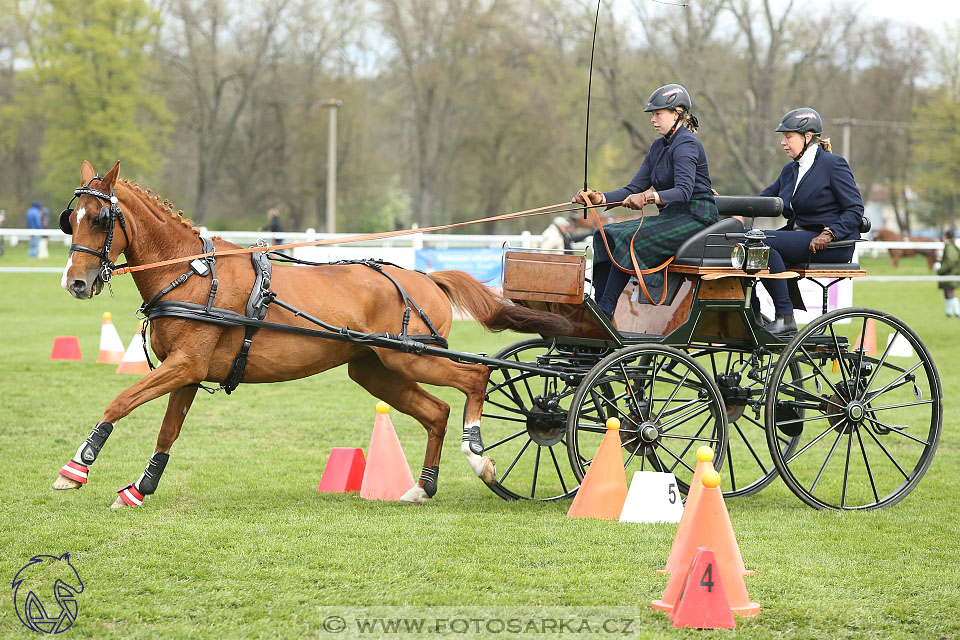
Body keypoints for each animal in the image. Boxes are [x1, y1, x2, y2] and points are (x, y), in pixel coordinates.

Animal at [52, 161, 572, 510]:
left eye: (100, 219)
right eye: (70, 219)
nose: (75, 283)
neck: (192, 274)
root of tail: (427, 277)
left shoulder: (185, 365)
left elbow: (120, 401)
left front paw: (77, 467)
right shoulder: (188, 373)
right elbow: (168, 431)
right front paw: (140, 490)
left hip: (412, 358)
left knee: (475, 379)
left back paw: (479, 455)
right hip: (376, 369)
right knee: (437, 411)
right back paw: (421, 487)